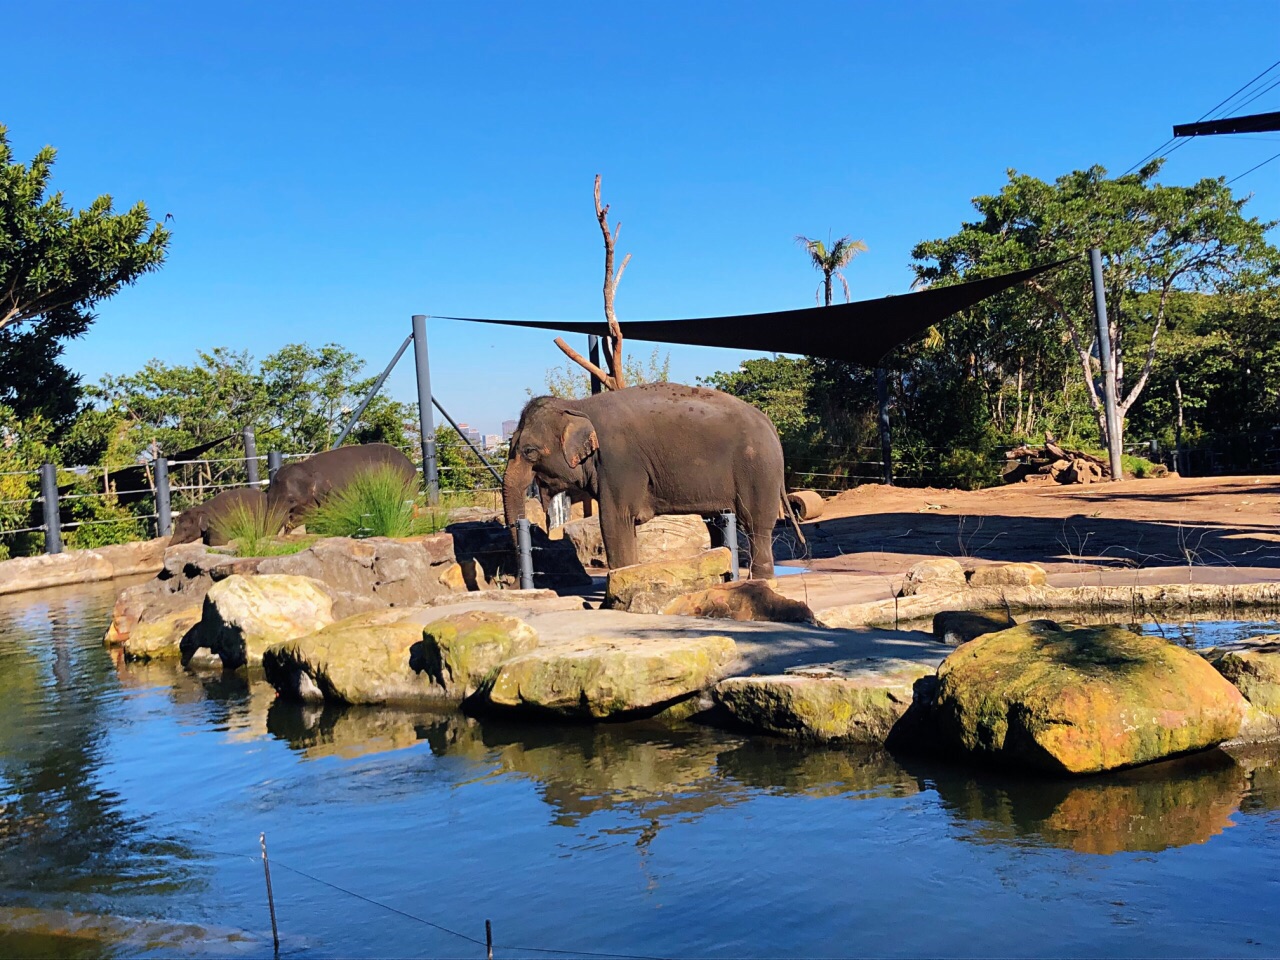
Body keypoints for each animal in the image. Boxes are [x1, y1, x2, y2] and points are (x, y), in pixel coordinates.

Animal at [267, 445, 417, 529]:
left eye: (291, 500)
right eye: (268, 497)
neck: (308, 468)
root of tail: (412, 465)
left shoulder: (337, 494)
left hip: (406, 485)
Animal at [501, 384, 793, 578]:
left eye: (529, 451)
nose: (511, 579)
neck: (577, 406)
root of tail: (768, 422)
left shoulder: (618, 462)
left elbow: (615, 520)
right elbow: (624, 524)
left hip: (758, 469)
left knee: (756, 524)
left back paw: (760, 581)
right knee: (718, 523)